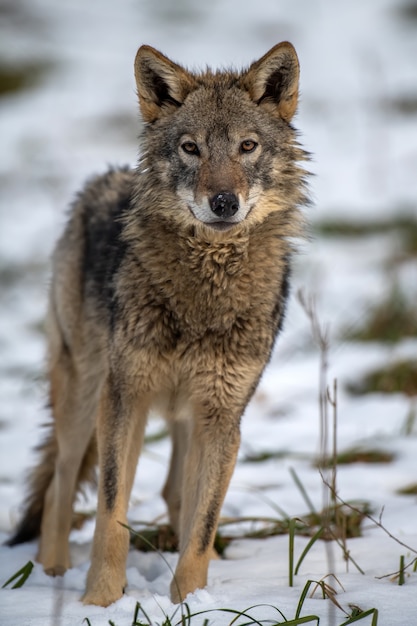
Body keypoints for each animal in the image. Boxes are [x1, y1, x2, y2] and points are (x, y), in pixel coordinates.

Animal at [6, 42, 308, 604]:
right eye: (191, 148)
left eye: (247, 146)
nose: (223, 202)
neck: (204, 291)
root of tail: (101, 179)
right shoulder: (124, 398)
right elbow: (110, 512)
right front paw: (100, 601)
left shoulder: (223, 417)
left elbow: (202, 523)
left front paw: (192, 603)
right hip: (84, 399)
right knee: (60, 482)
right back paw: (50, 574)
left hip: (184, 415)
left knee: (175, 494)